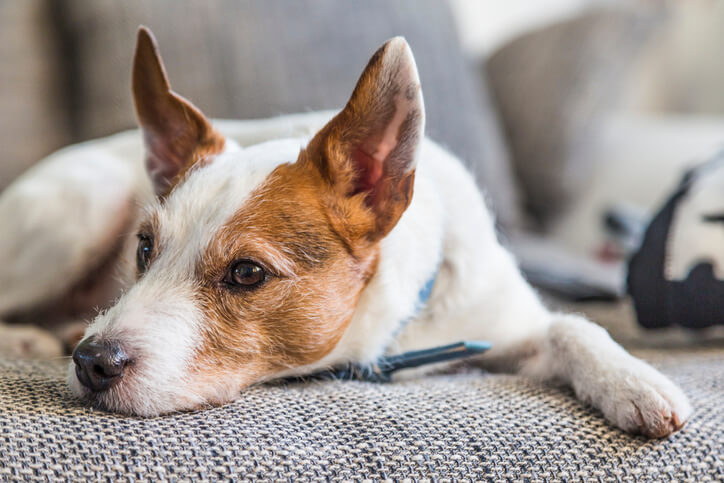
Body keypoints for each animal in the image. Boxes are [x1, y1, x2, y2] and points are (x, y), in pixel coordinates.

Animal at [0, 29, 692, 438]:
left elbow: (574, 326)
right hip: (82, 204)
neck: (391, 334)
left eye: (246, 273)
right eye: (144, 250)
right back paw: (36, 335)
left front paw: (634, 381)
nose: (91, 361)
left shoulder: (502, 324)